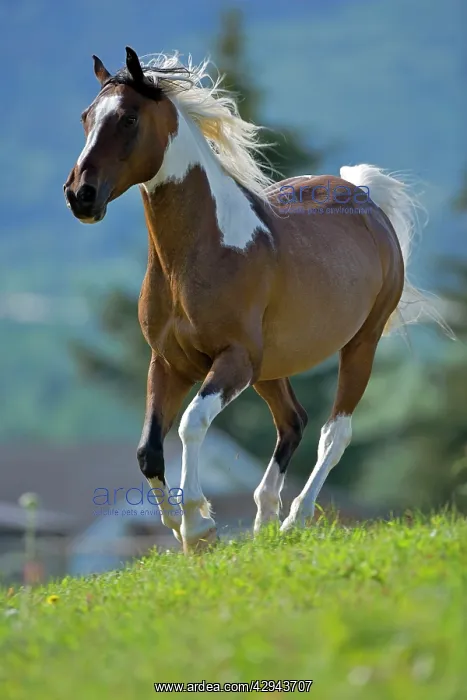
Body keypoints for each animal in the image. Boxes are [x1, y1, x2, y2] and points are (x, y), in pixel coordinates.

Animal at [64, 46, 446, 554]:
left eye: (128, 117)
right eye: (87, 116)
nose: (80, 195)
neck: (206, 250)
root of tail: (366, 200)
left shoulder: (235, 360)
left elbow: (191, 423)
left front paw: (200, 527)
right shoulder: (168, 363)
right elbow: (148, 449)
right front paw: (178, 529)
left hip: (359, 345)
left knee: (334, 433)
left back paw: (294, 519)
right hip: (272, 368)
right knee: (293, 422)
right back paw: (264, 522)